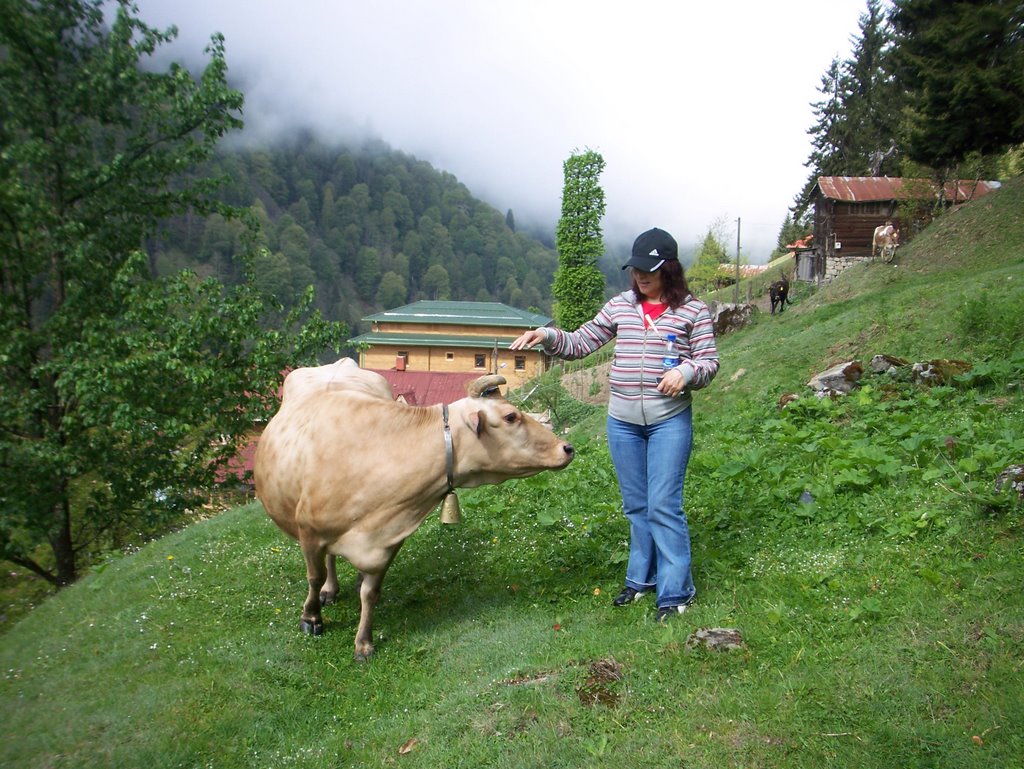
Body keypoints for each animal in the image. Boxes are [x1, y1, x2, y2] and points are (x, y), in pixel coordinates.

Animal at [253, 358, 577, 659]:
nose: (567, 447)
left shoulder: (389, 539)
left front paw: (364, 642)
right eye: (511, 416)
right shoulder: (309, 531)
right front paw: (311, 619)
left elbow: (370, 593)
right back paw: (329, 591)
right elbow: (314, 576)